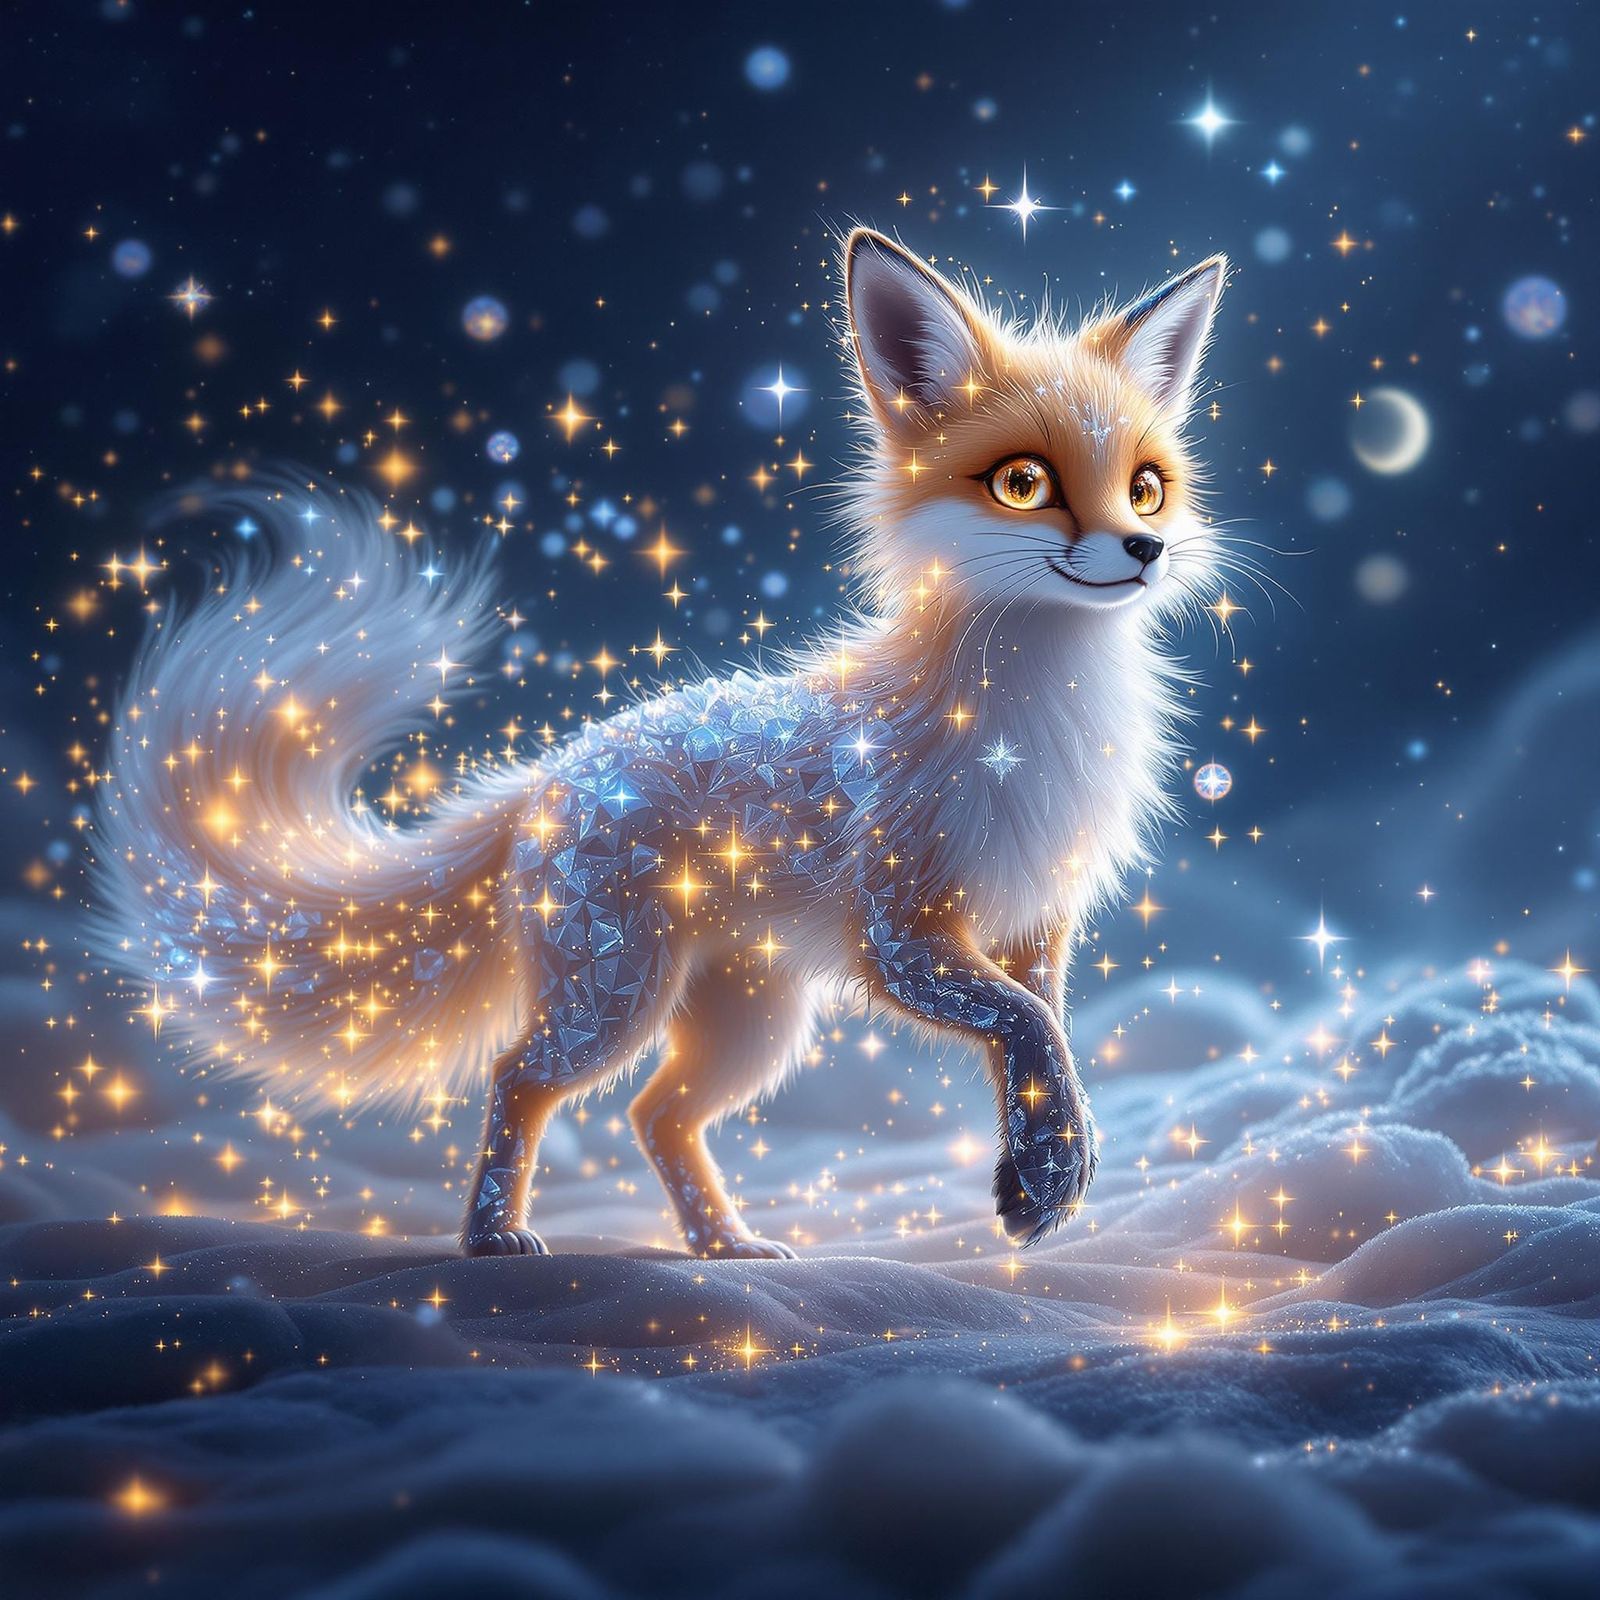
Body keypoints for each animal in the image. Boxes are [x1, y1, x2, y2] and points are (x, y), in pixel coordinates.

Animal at [93, 229, 1230, 1258]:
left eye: (1144, 485)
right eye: (1024, 483)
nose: (1144, 549)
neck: (1035, 719)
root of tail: (548, 776)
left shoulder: (1033, 924)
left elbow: (1046, 1041)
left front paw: (1042, 1175)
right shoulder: (900, 933)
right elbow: (1025, 1029)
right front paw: (1047, 1178)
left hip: (749, 1022)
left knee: (655, 1114)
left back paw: (721, 1242)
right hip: (617, 1001)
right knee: (522, 1076)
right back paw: (491, 1236)